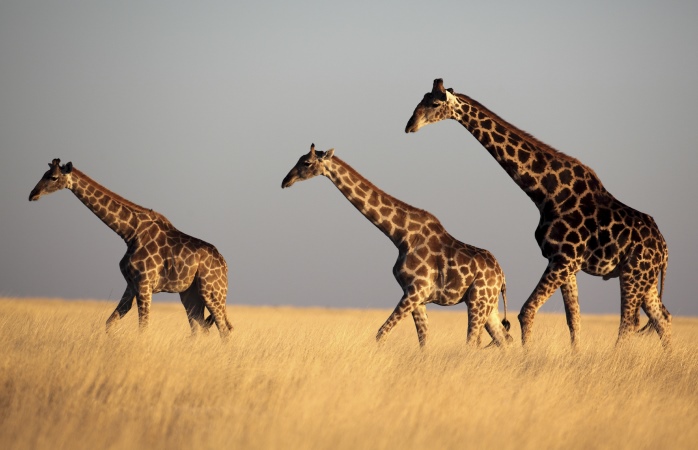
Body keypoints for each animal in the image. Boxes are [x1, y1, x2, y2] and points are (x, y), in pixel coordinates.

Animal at [282, 144, 512, 348]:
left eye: (306, 162)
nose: (285, 181)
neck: (400, 235)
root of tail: (502, 277)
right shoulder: (418, 297)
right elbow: (423, 341)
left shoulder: (415, 291)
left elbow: (381, 333)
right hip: (489, 306)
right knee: (504, 340)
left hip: (477, 301)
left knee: (473, 343)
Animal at [402, 80, 668, 348]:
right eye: (421, 100)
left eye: (435, 103)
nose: (409, 125)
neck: (544, 193)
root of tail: (664, 251)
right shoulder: (567, 264)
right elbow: (574, 319)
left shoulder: (563, 259)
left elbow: (527, 311)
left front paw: (527, 356)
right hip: (645, 280)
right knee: (661, 318)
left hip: (633, 274)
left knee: (629, 323)